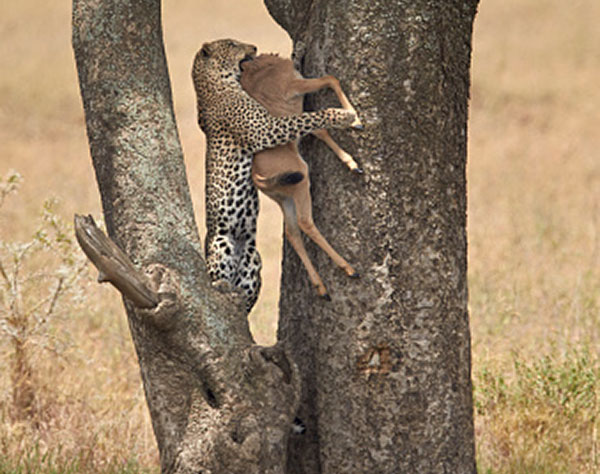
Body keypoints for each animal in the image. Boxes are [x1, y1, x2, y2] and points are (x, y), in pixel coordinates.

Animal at [192, 39, 356, 312]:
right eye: (231, 44)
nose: (252, 47)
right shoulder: (274, 120)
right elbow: (326, 89)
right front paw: (349, 117)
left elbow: (315, 125)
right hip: (293, 184)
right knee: (304, 223)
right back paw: (347, 267)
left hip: (273, 219)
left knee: (290, 233)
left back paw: (320, 286)